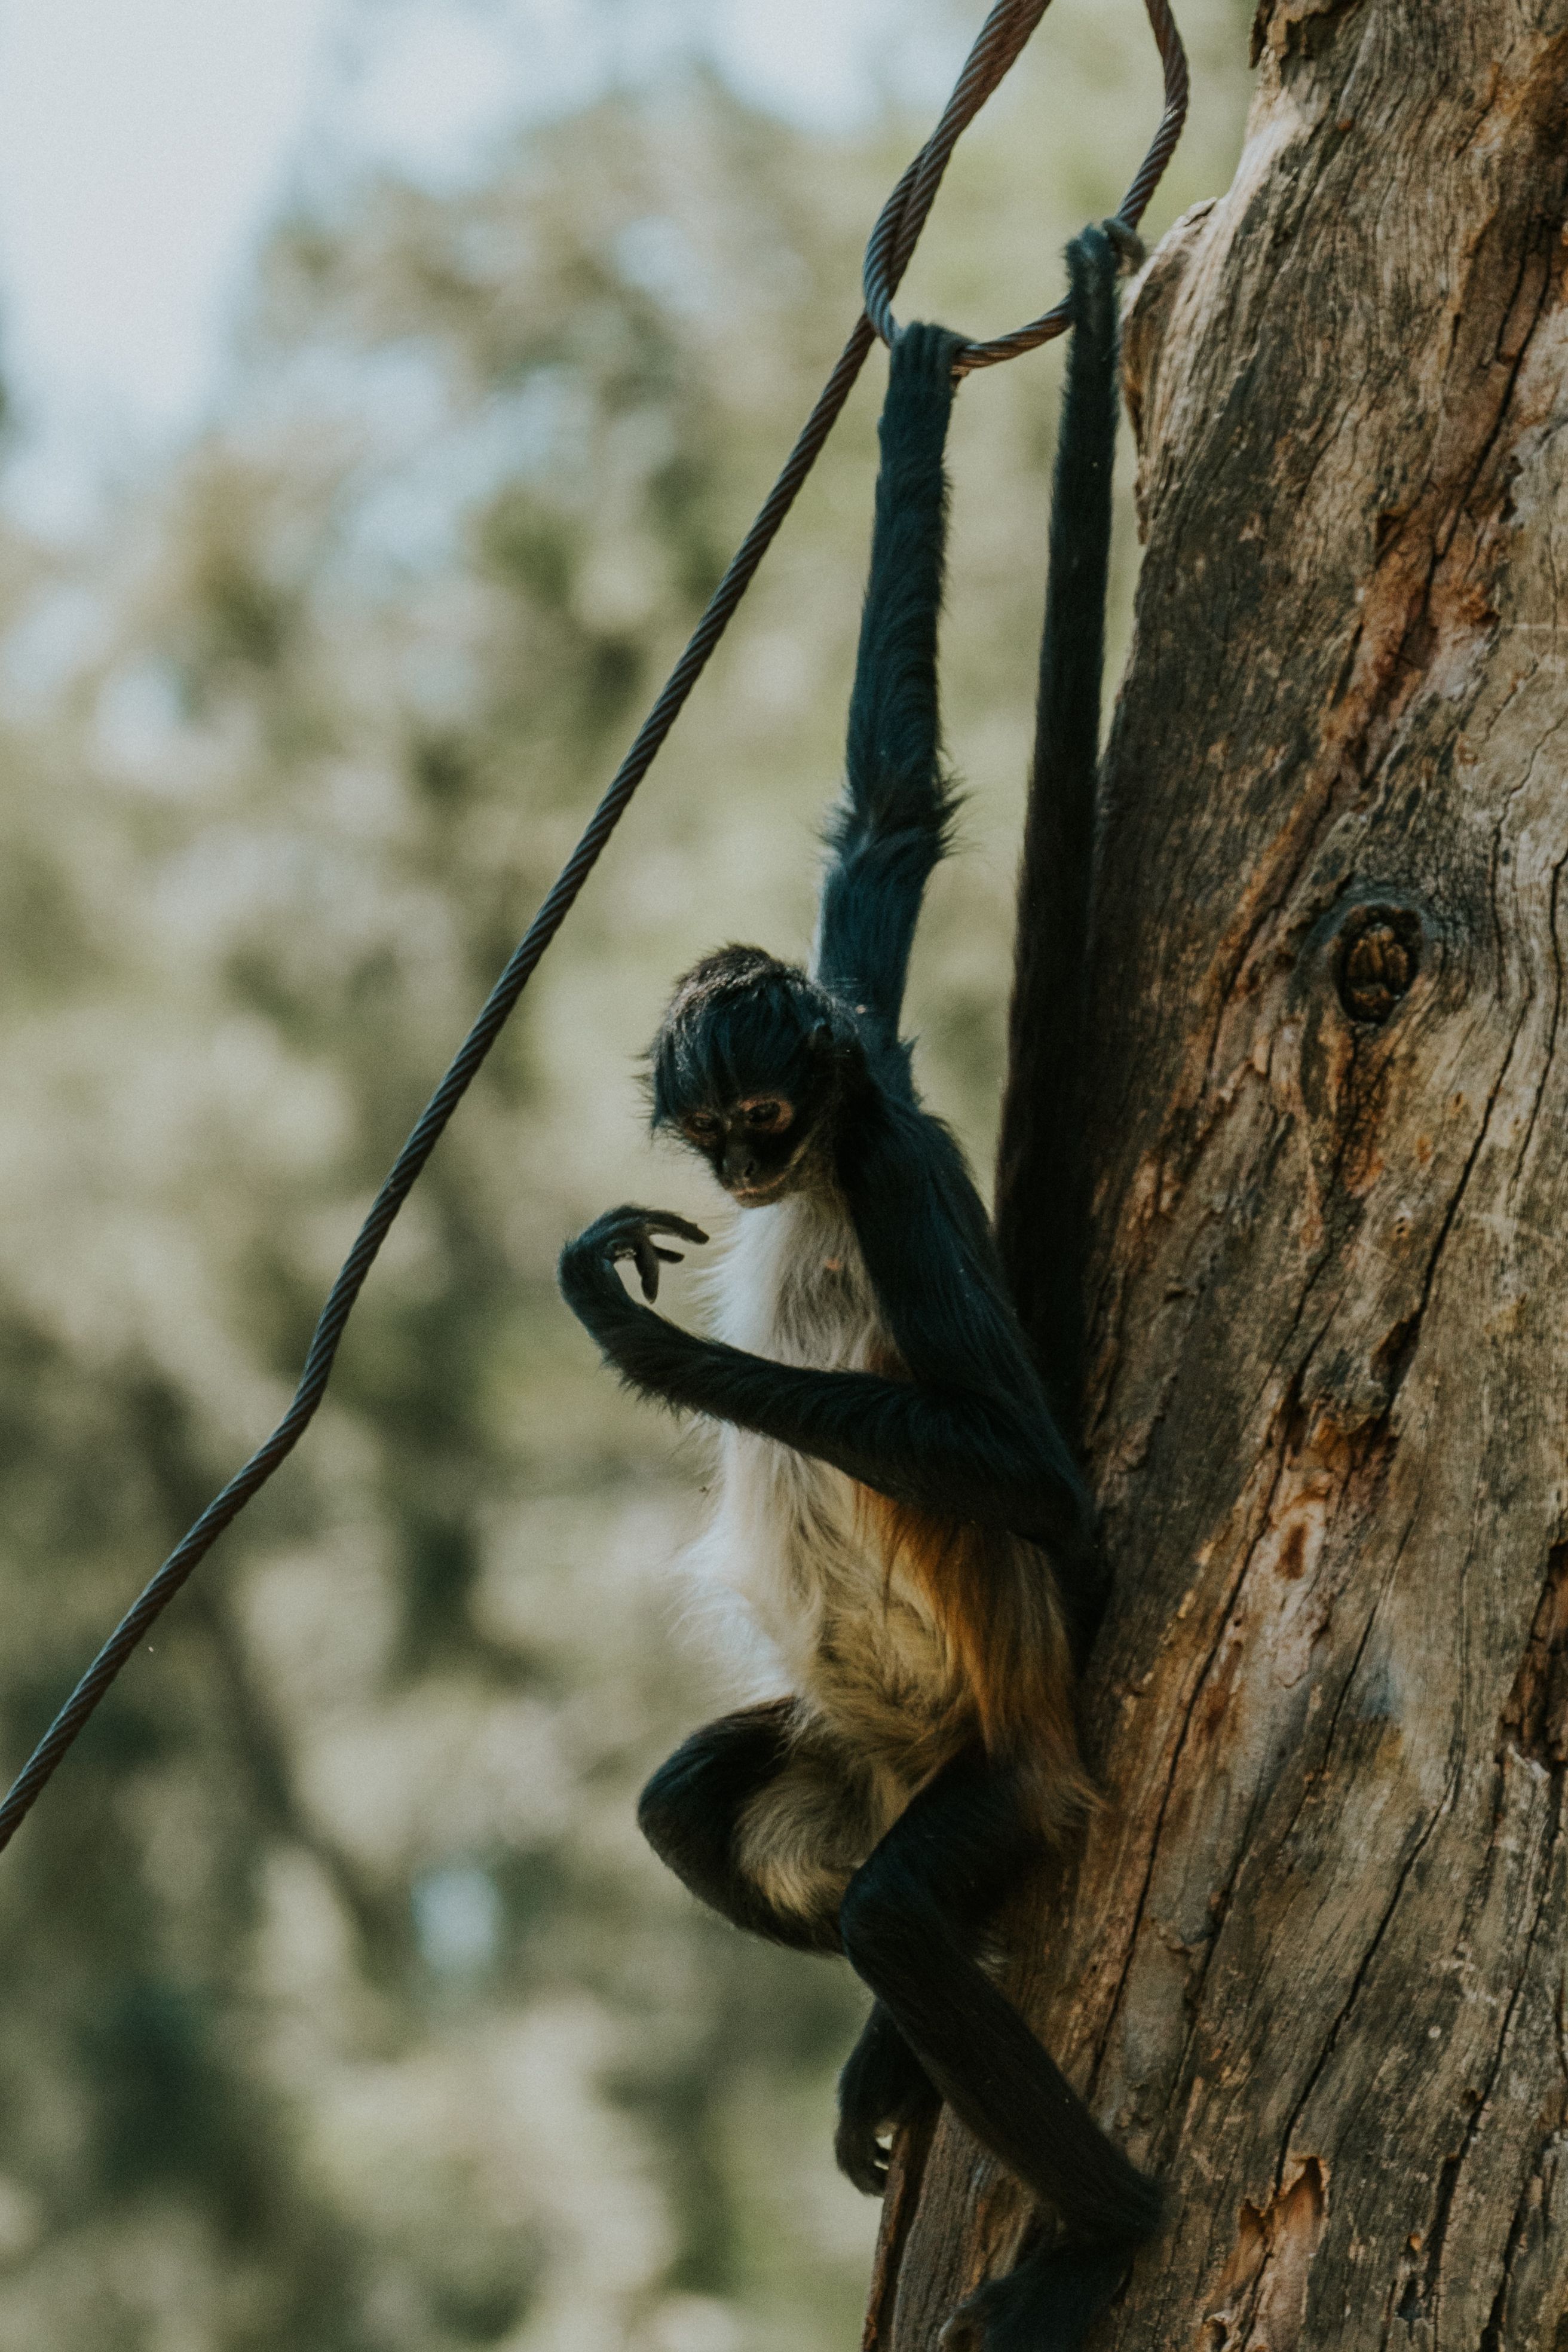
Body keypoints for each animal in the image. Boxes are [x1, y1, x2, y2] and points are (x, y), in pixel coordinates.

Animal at [558, 225, 1157, 2350]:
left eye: (764, 1113)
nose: (741, 1167)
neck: (829, 1154)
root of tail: (933, 1760)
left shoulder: (886, 1148)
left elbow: (1035, 1481)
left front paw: (628, 1330)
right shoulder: (866, 1028)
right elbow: (890, 810)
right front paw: (921, 371)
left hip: (1000, 1775)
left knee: (902, 1907)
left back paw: (1097, 2220)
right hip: (848, 1755)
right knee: (684, 1805)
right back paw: (893, 2056)